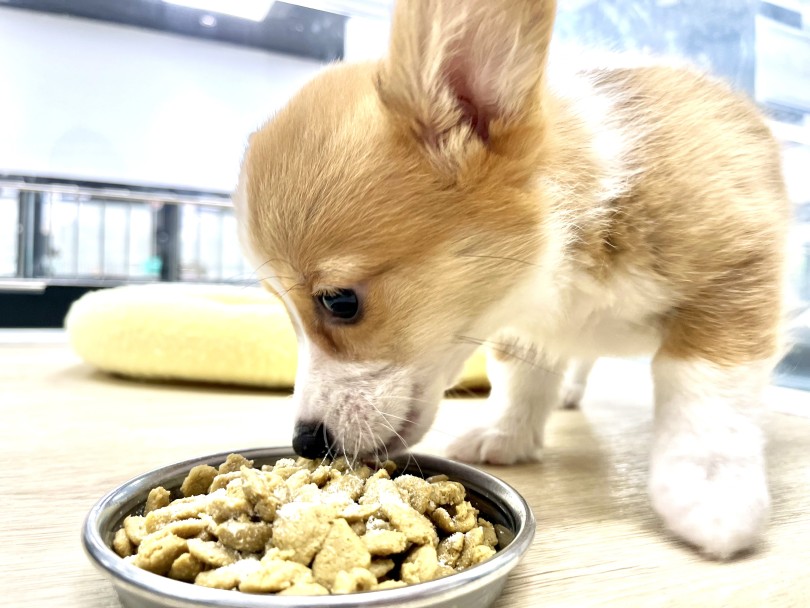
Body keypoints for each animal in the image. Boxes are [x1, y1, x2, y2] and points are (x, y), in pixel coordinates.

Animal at [230, 0, 784, 560]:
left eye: (339, 301)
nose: (304, 442)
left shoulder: (736, 277)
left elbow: (706, 391)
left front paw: (713, 491)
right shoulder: (522, 327)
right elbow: (522, 377)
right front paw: (507, 436)